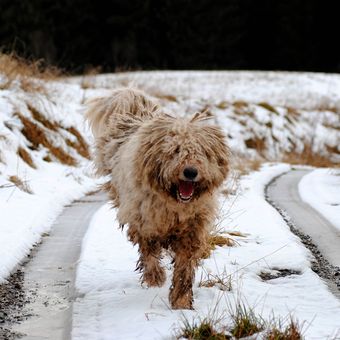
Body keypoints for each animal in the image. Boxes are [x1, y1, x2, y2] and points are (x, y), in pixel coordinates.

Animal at [85, 89, 228, 310]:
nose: (190, 172)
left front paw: (181, 300)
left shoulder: (193, 229)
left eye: (202, 152)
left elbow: (184, 267)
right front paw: (155, 277)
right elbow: (149, 252)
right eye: (175, 150)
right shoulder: (144, 222)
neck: (174, 204)